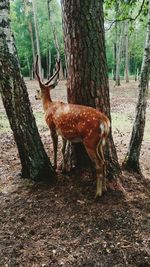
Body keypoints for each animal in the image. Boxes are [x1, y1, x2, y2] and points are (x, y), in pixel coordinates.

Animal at [34, 56, 110, 199]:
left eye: (37, 90)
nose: (35, 96)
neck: (48, 107)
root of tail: (105, 122)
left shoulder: (52, 127)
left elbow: (55, 148)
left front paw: (54, 166)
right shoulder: (64, 133)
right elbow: (63, 149)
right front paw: (64, 169)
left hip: (90, 141)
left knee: (98, 164)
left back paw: (97, 194)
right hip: (100, 143)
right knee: (104, 162)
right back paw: (105, 189)